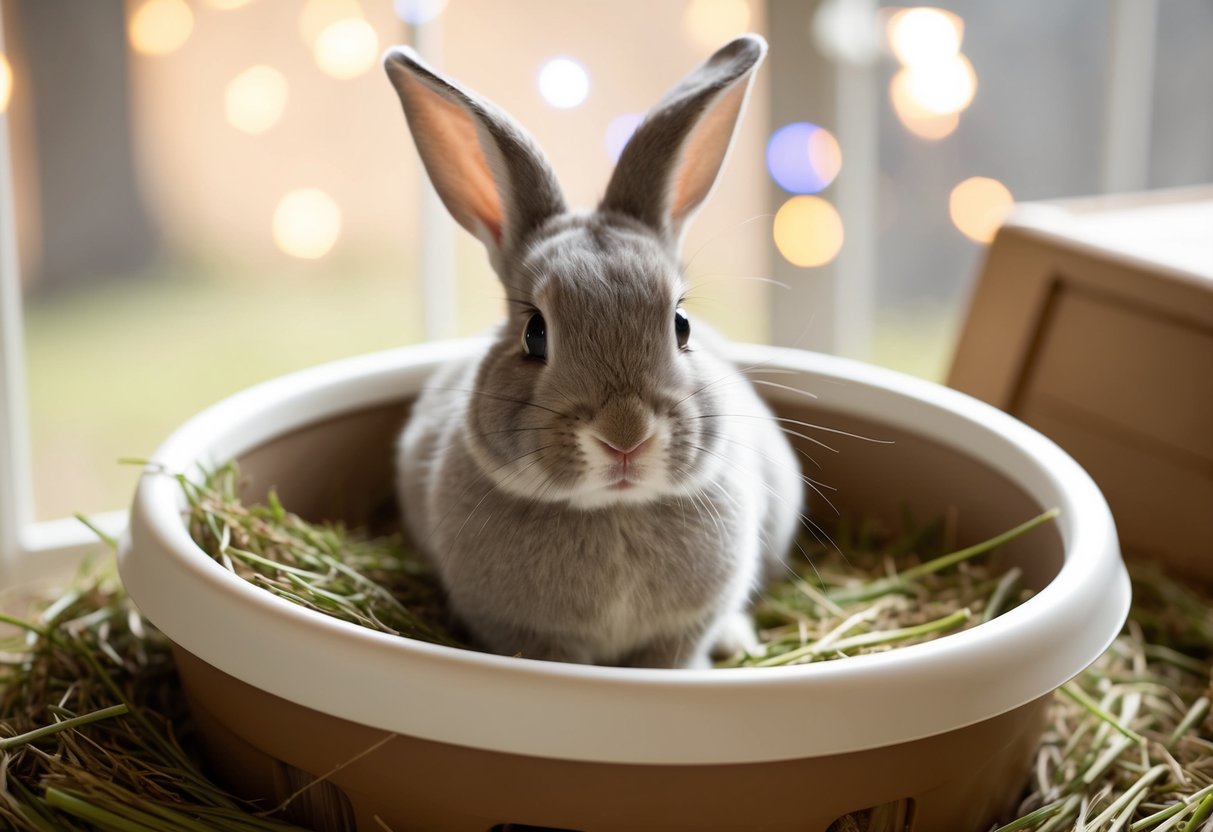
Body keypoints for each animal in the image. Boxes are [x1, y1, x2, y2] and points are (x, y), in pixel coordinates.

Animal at [384, 34, 804, 669]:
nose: (625, 435)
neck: (613, 509)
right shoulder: (529, 636)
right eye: (535, 333)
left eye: (681, 324)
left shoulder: (683, 630)